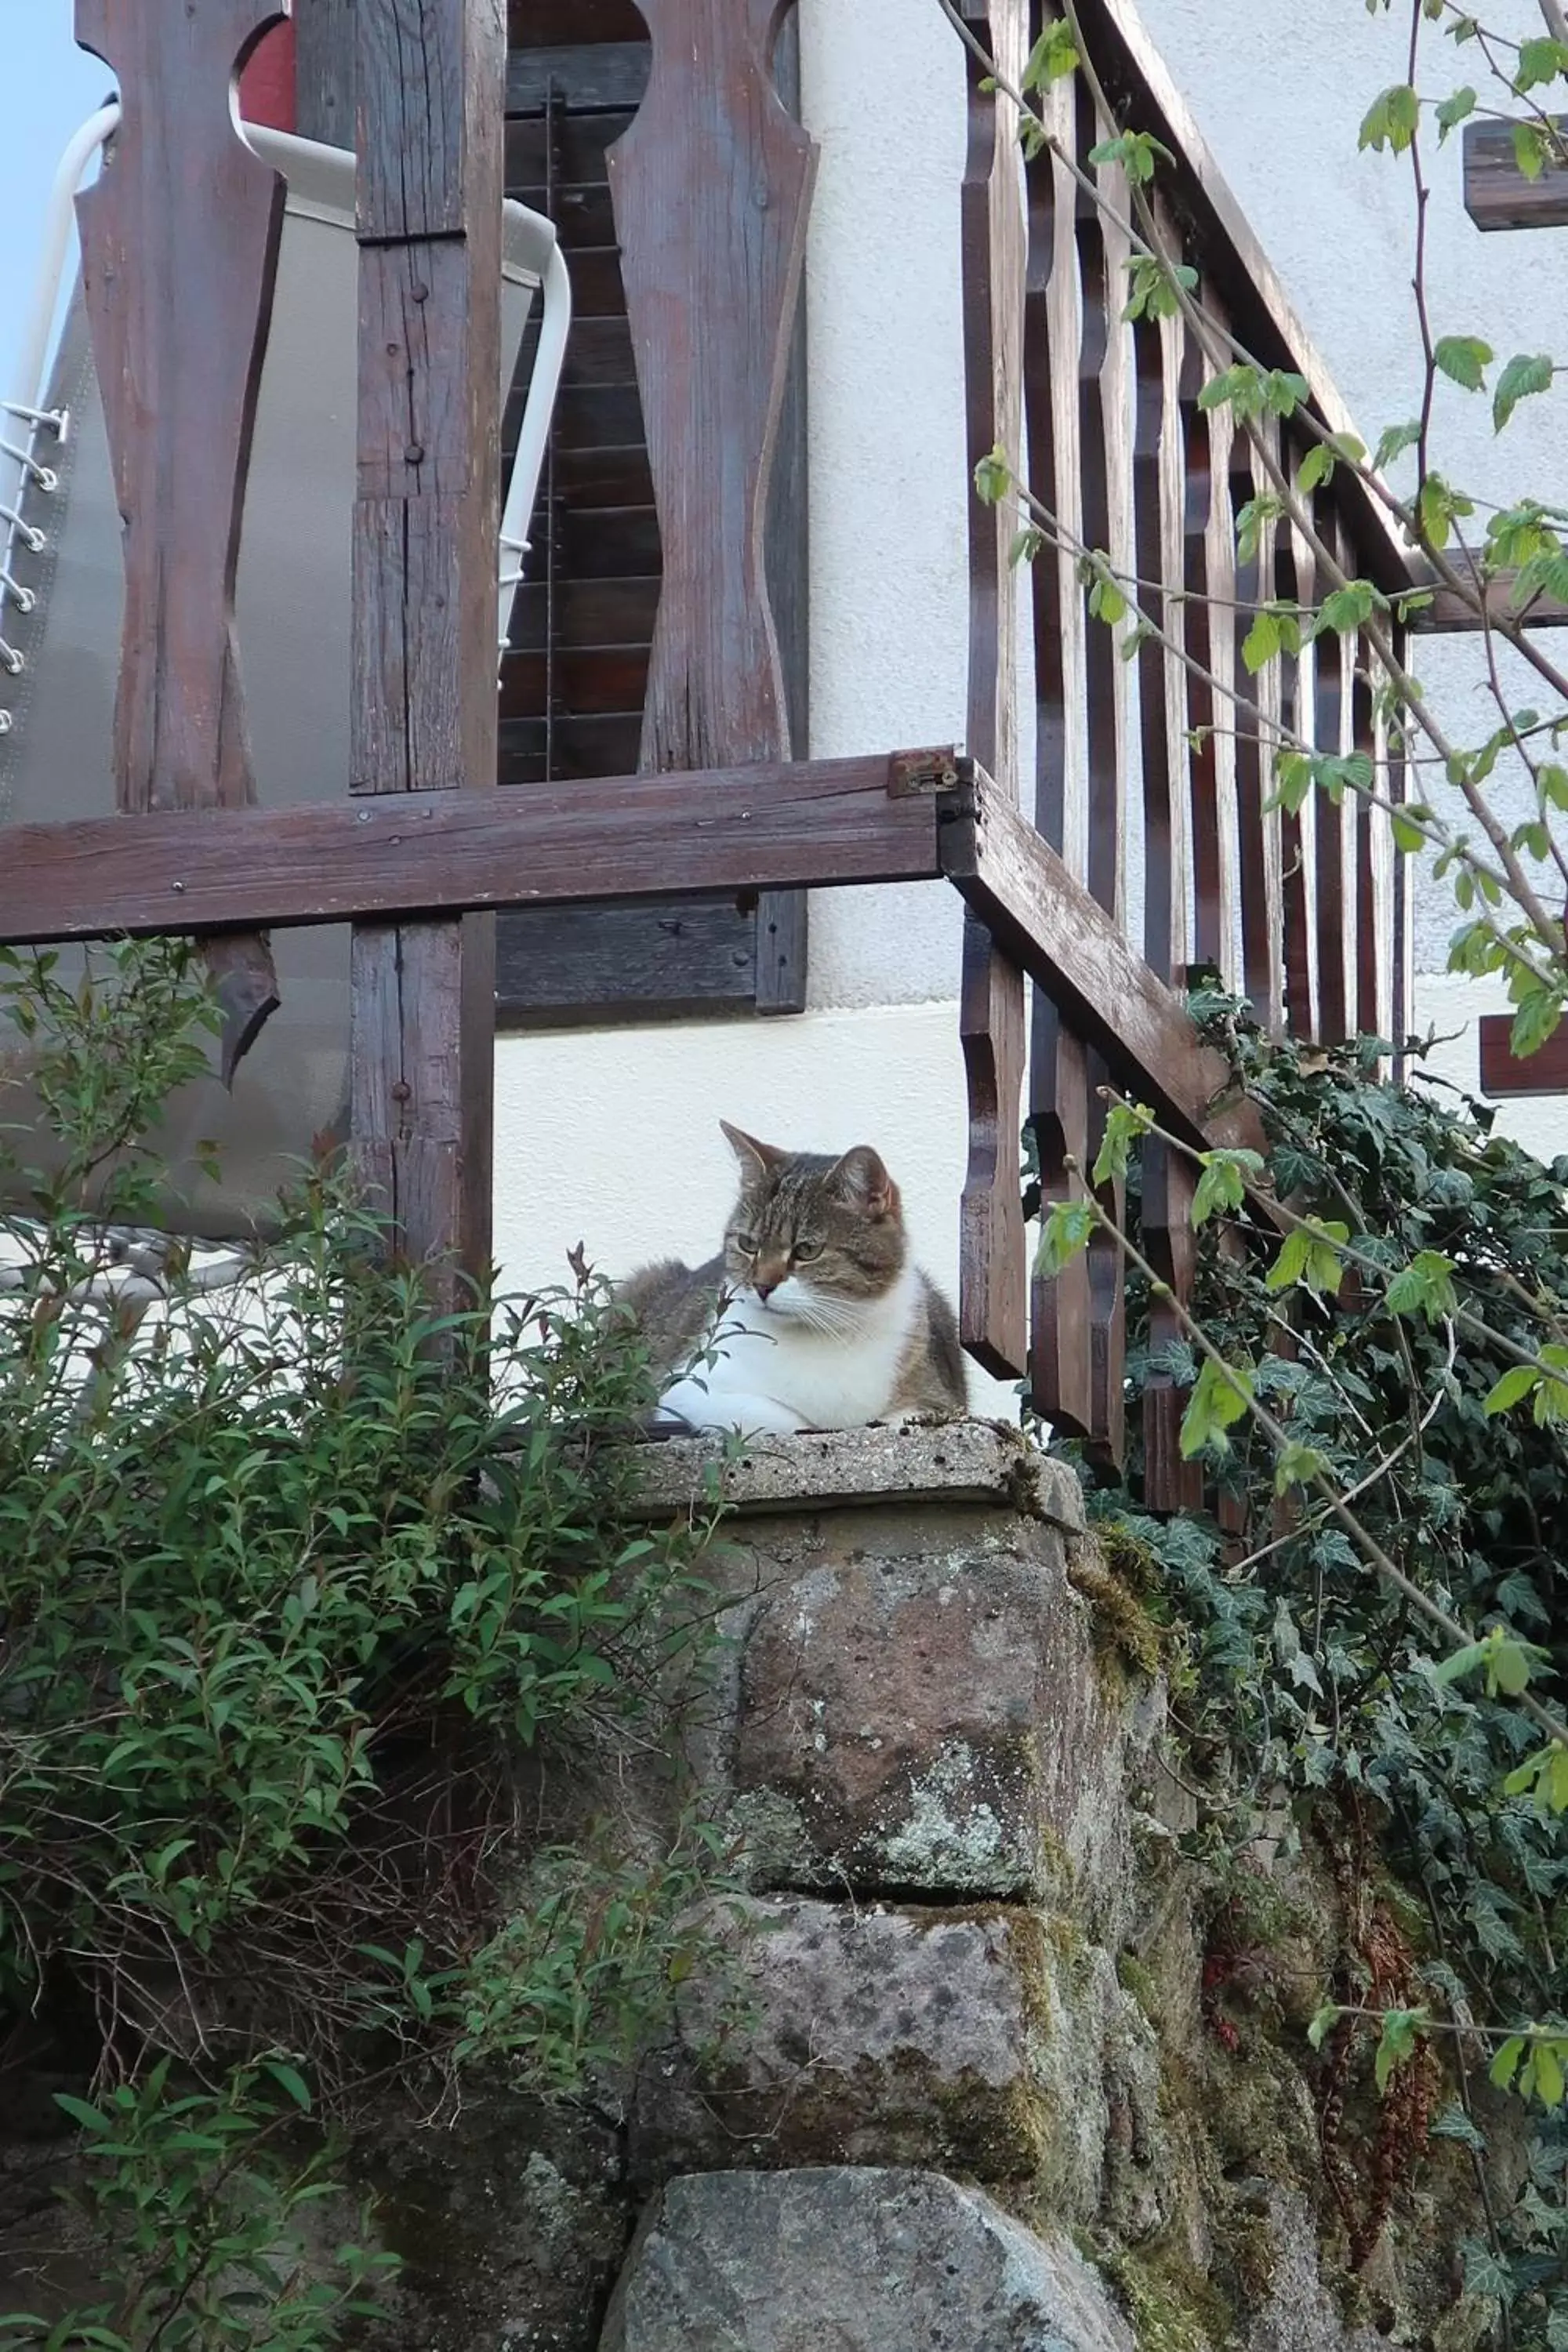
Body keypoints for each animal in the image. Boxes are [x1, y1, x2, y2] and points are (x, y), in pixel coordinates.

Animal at [615, 1120, 964, 1430]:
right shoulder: (685, 1391)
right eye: (748, 1244)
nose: (761, 1286)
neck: (823, 1335)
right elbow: (785, 1420)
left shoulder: (936, 1400)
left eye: (807, 1250)